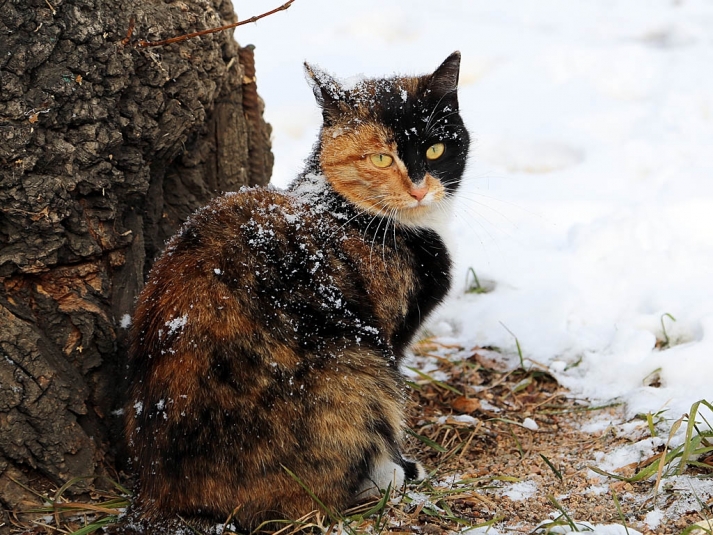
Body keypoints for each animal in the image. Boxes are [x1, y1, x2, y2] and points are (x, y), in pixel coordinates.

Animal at [125, 50, 470, 532]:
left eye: (436, 148)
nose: (420, 189)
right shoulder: (387, 337)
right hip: (360, 363)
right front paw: (400, 465)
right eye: (381, 159)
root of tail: (160, 497)